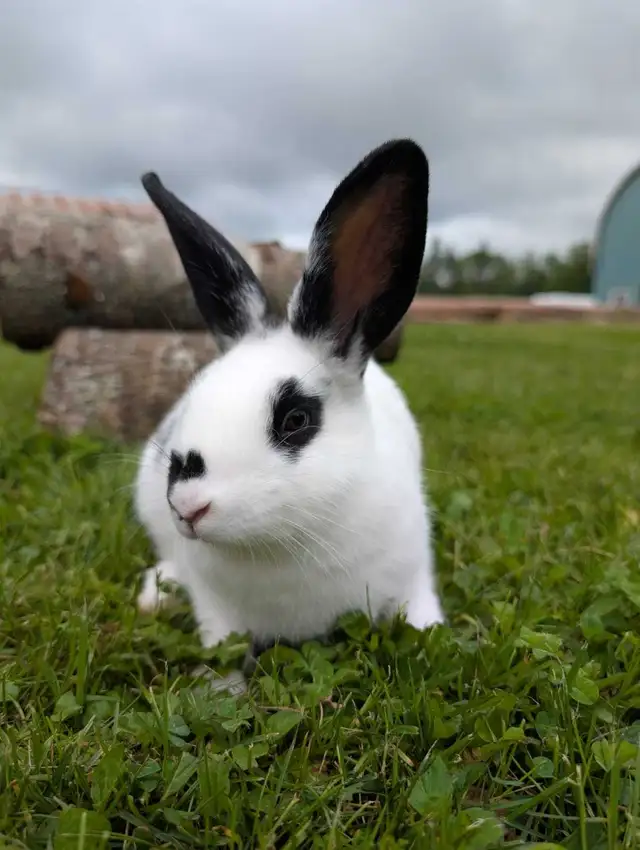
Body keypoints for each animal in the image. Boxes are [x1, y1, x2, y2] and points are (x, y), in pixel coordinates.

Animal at [133, 138, 445, 667]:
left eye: (295, 419)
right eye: (191, 396)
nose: (189, 507)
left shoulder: (413, 575)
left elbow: (422, 619)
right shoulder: (217, 613)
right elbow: (221, 655)